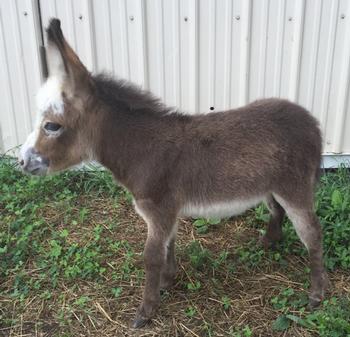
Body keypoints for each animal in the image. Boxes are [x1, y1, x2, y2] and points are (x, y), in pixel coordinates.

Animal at [19, 19, 328, 328]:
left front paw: (146, 311)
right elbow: (169, 245)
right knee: (277, 210)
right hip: (270, 185)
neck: (142, 149)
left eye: (52, 126)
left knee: (312, 233)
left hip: (294, 187)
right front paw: (167, 281)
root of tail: (311, 121)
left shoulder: (159, 210)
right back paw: (268, 242)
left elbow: (152, 256)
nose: (21, 162)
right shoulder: (166, 212)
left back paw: (316, 295)